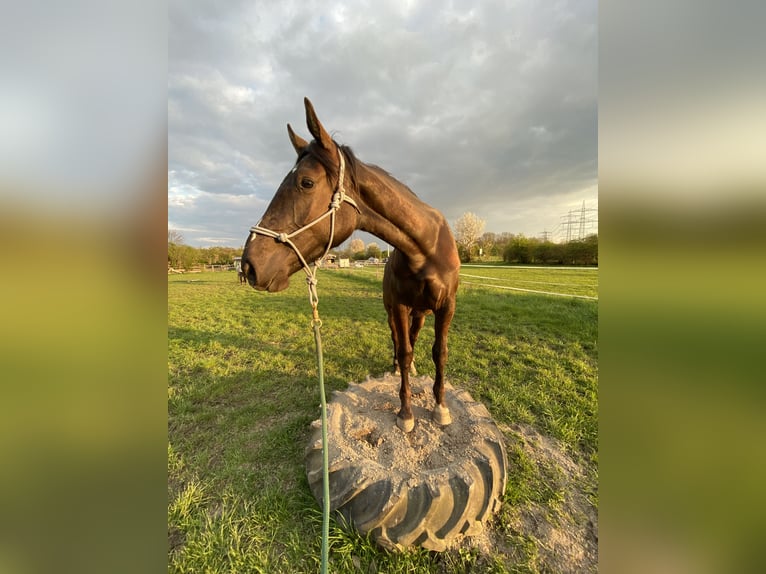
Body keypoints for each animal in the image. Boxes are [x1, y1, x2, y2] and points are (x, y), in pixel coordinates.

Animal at [241, 98, 460, 433]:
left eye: (306, 182)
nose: (249, 264)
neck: (427, 248)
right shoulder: (399, 306)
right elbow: (404, 350)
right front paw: (406, 412)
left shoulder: (447, 305)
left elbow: (440, 353)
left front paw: (440, 407)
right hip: (394, 309)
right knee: (400, 340)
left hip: (422, 311)